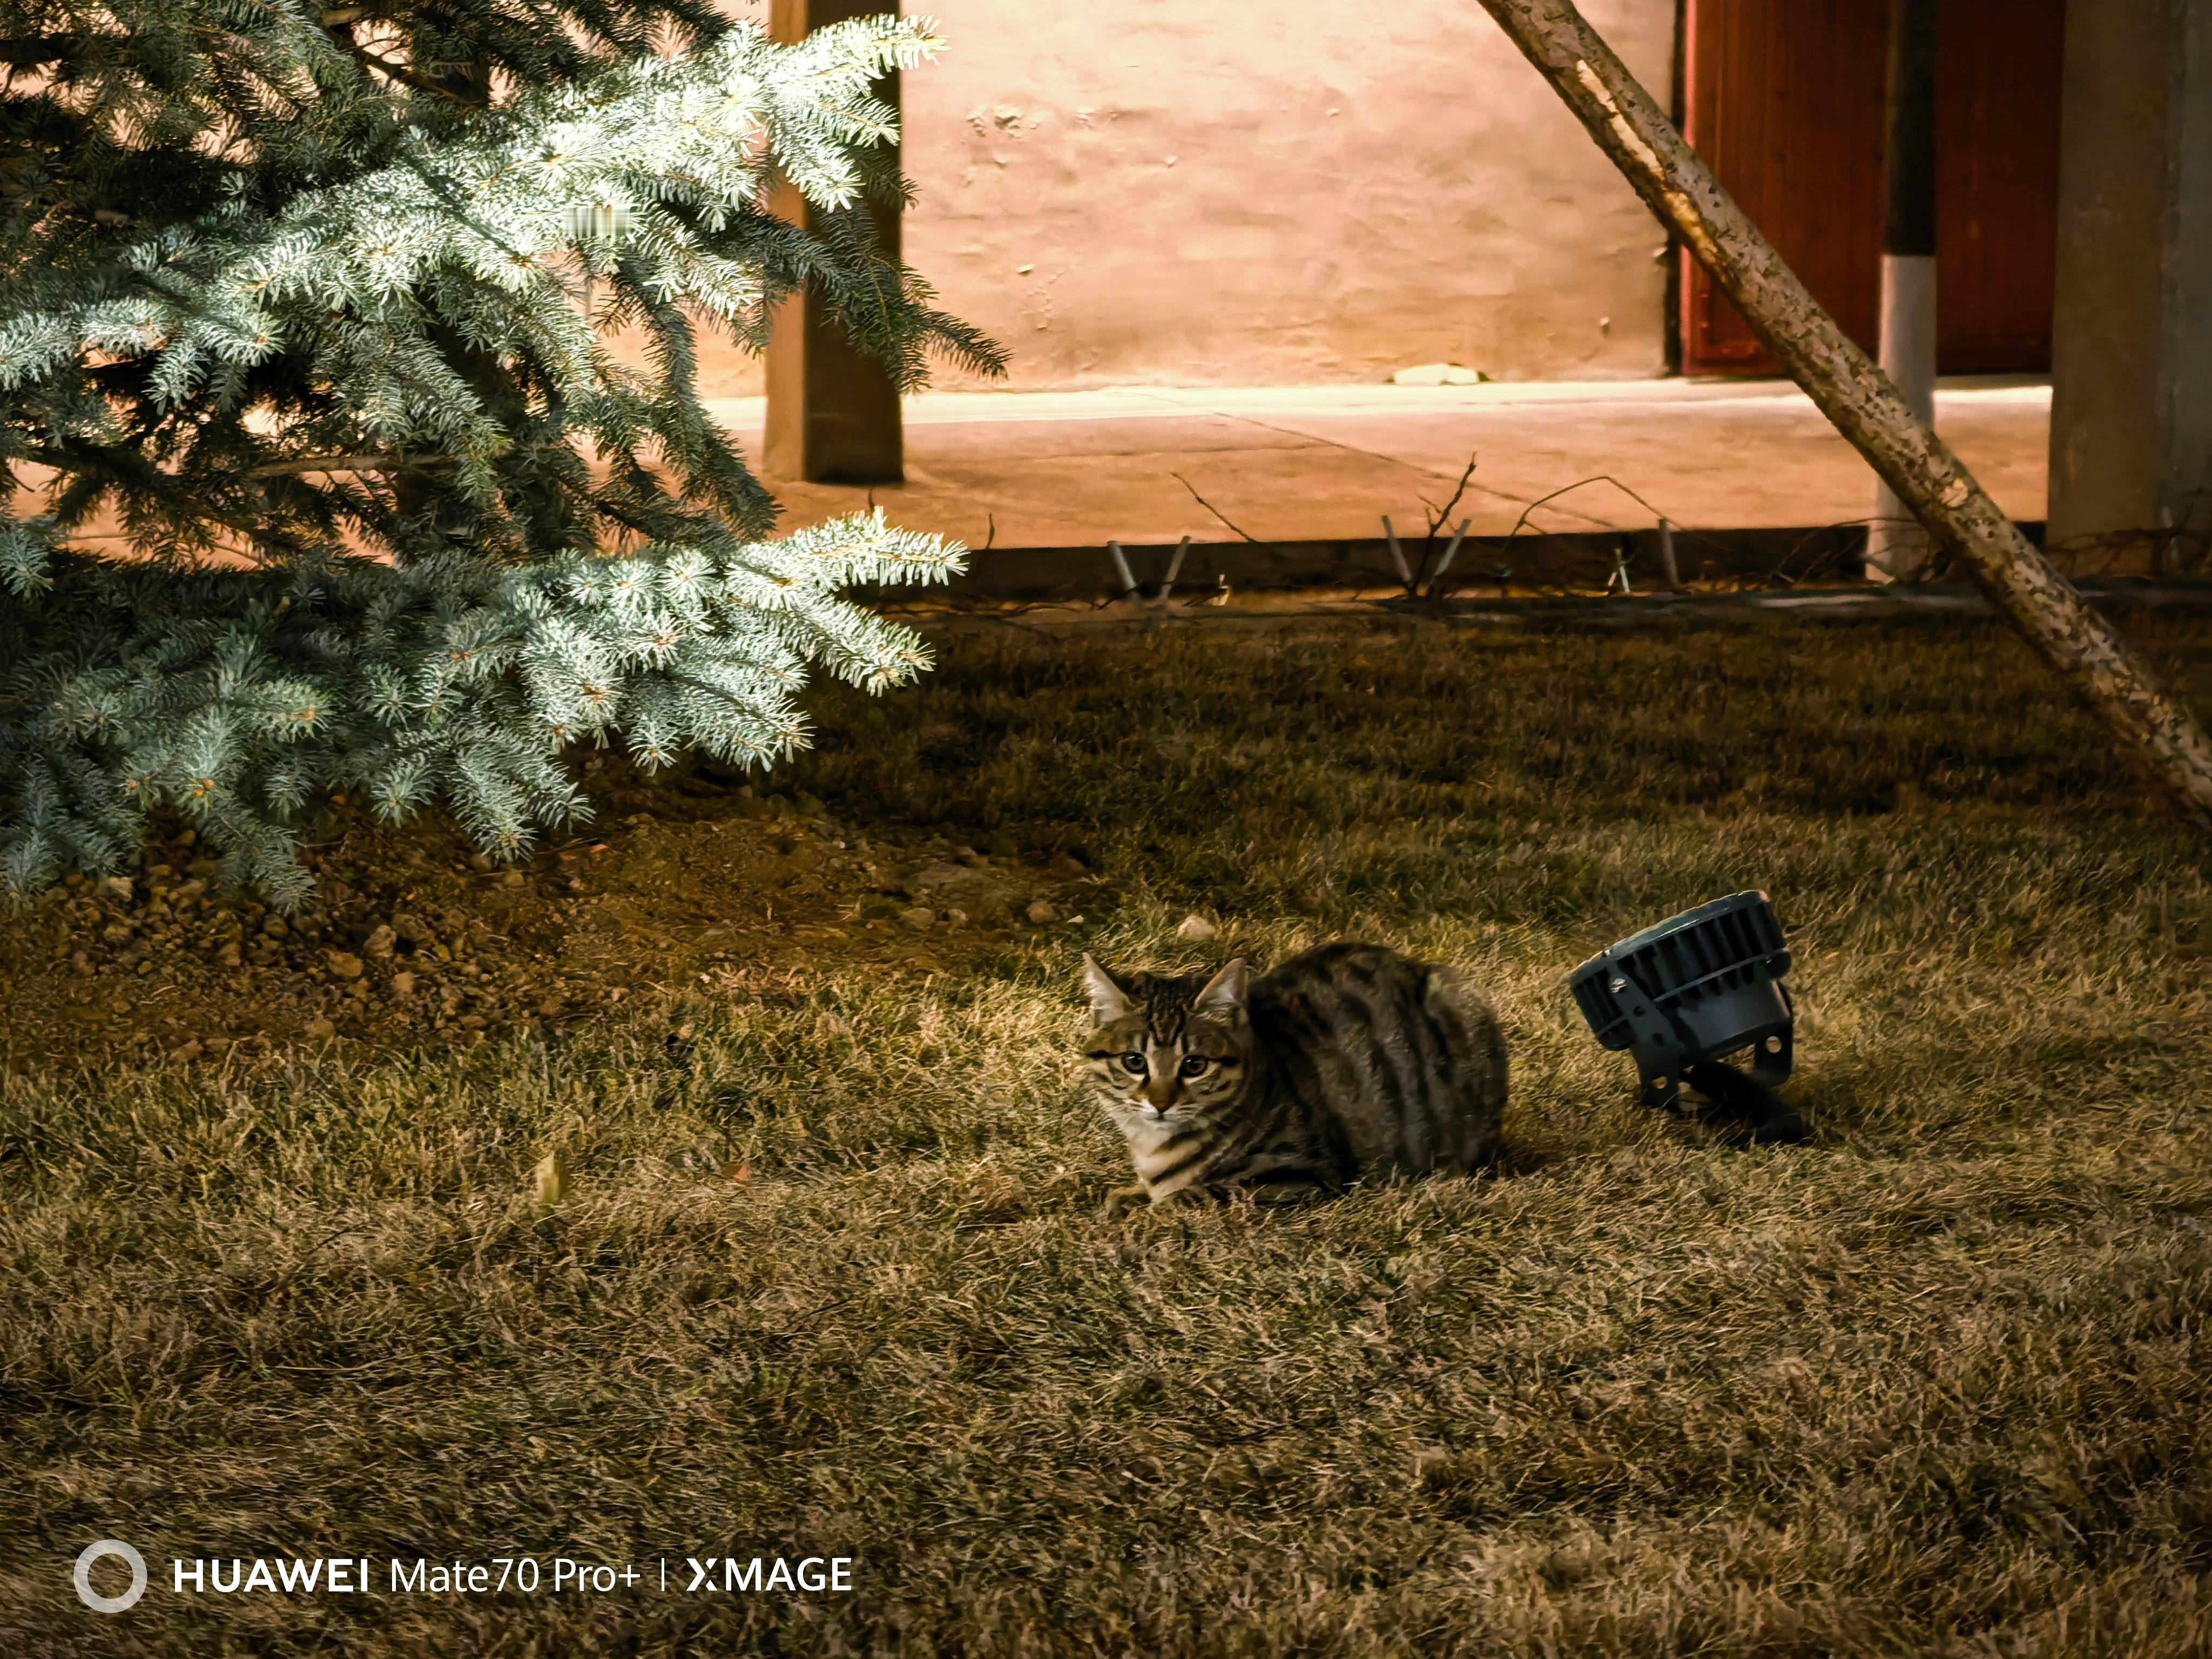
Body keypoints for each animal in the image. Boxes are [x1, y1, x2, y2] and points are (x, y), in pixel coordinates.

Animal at [1075, 947, 1504, 1212]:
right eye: (1134, 1061)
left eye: (1194, 1065)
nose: (1161, 1103)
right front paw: (1127, 1197)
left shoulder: (1302, 1175)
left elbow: (1194, 1195)